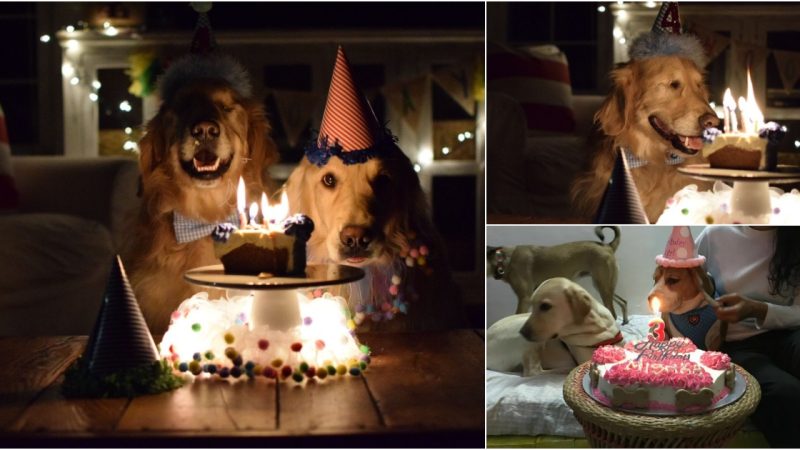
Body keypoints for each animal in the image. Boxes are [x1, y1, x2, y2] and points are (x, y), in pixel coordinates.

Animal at [484, 278, 620, 376]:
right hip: (531, 341)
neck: (600, 327)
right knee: (532, 372)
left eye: (545, 306)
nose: (522, 332)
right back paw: (565, 369)